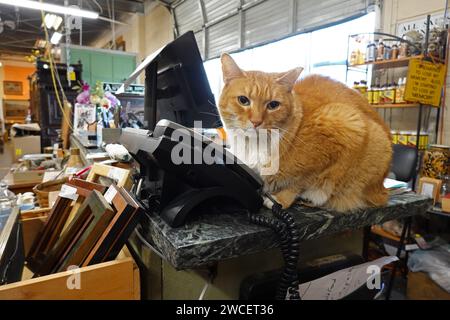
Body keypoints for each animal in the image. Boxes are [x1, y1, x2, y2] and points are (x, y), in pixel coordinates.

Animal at [218, 53, 390, 211]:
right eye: (243, 100)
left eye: (273, 105)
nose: (256, 121)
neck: (254, 146)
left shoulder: (342, 127)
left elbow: (300, 181)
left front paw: (280, 198)